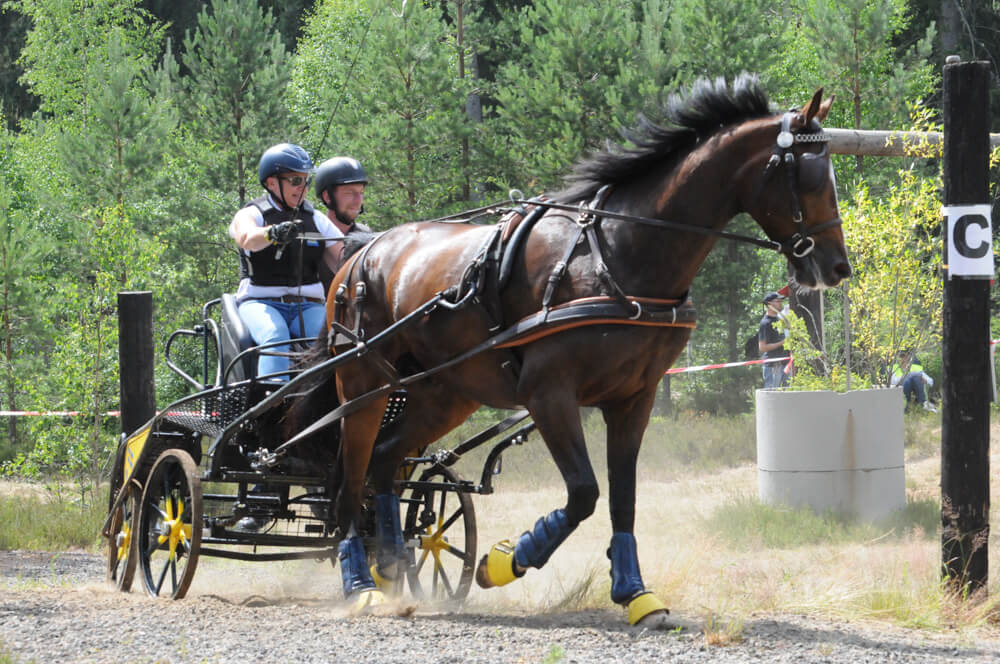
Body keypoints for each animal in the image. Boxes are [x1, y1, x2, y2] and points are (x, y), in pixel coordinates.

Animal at [318, 75, 844, 624]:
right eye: (810, 178)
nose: (837, 267)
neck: (617, 255)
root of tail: (361, 255)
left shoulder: (635, 398)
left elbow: (623, 496)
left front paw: (635, 592)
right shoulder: (548, 394)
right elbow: (585, 492)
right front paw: (504, 562)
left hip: (442, 393)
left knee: (385, 461)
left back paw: (391, 563)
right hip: (363, 386)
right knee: (352, 477)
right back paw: (360, 580)